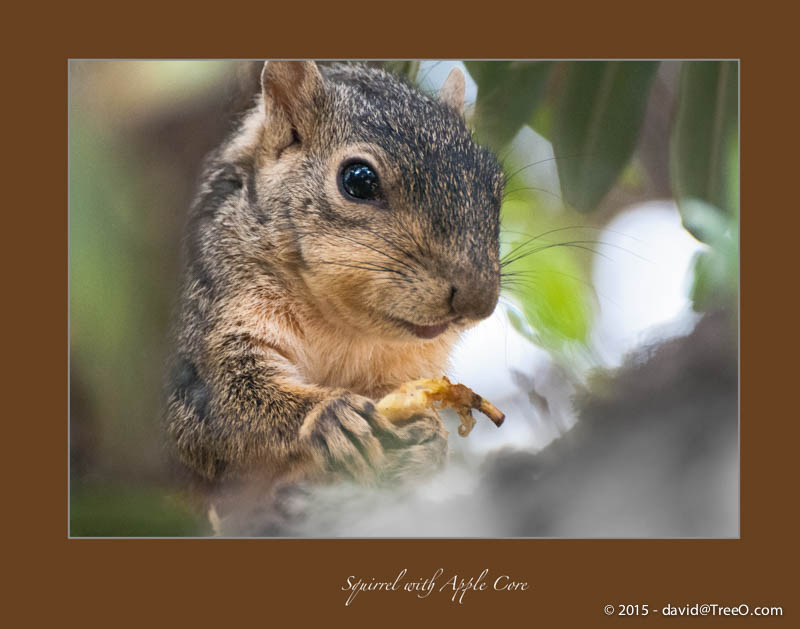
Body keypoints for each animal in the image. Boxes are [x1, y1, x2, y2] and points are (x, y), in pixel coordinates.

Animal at [165, 60, 504, 496]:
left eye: (496, 187)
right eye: (358, 179)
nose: (479, 301)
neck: (346, 328)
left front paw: (428, 442)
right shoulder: (212, 308)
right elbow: (219, 403)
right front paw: (330, 415)